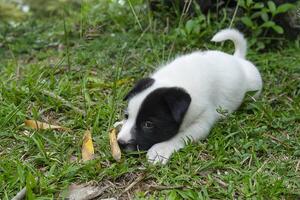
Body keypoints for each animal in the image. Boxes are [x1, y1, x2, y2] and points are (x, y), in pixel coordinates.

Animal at [116, 28, 262, 164]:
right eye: (126, 115)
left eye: (148, 124)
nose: (120, 143)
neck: (174, 81)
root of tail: (238, 59)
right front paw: (120, 123)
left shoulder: (202, 122)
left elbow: (181, 136)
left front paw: (161, 149)